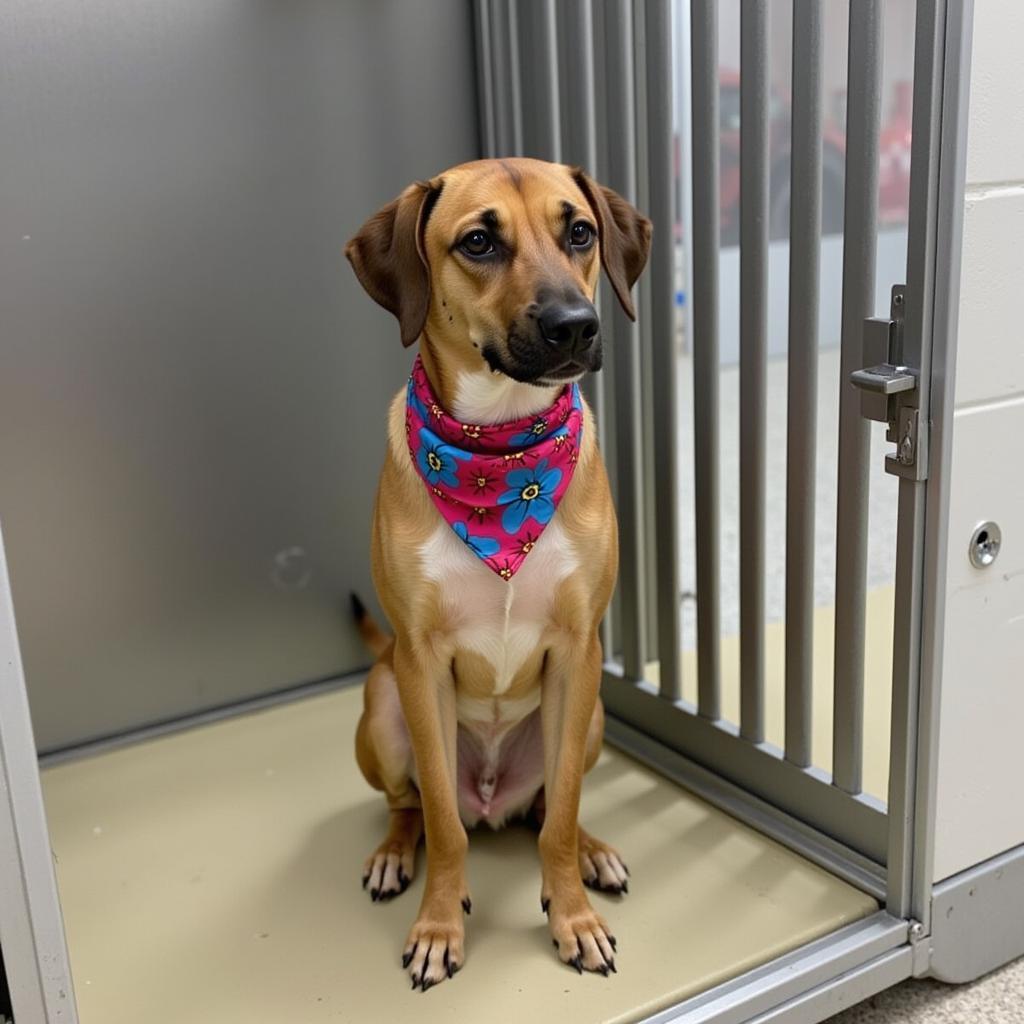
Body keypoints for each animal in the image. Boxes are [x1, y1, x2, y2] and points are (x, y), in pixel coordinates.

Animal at [344, 155, 647, 987]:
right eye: (478, 241)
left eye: (580, 231)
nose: (576, 324)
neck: (502, 456)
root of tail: (492, 800)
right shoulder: (418, 664)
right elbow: (443, 827)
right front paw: (439, 927)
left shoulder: (579, 652)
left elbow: (564, 811)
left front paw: (573, 915)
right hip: (382, 704)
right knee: (414, 806)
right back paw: (395, 854)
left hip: (593, 714)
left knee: (546, 810)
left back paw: (594, 852)